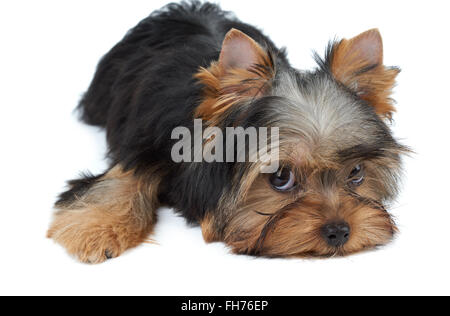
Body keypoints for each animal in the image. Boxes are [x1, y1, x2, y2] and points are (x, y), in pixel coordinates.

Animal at [47, 1, 406, 262]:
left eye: (356, 173)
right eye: (281, 177)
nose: (340, 232)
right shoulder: (145, 143)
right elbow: (124, 176)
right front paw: (96, 229)